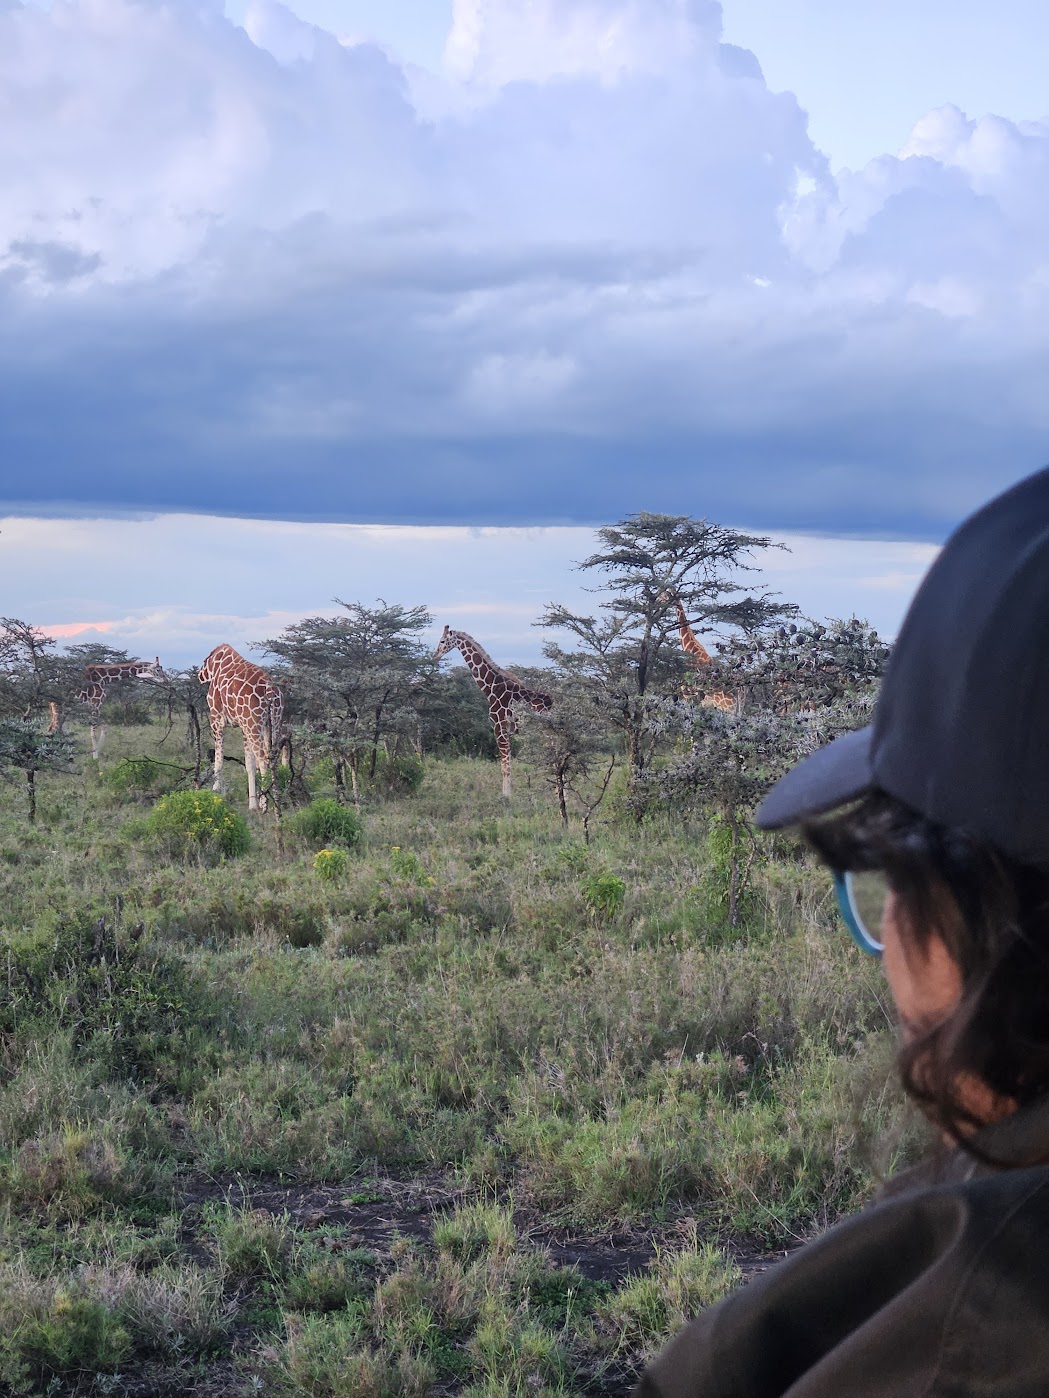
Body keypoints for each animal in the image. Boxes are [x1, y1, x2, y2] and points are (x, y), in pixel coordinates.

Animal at [198, 644, 284, 812]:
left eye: (204, 661)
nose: (199, 675)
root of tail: (270, 691)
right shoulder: (243, 726)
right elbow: (249, 764)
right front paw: (252, 804)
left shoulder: (216, 718)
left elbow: (218, 761)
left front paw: (215, 791)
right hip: (271, 722)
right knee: (272, 758)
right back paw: (276, 801)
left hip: (254, 724)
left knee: (262, 759)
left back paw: (265, 804)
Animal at [434, 625, 553, 798]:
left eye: (442, 641)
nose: (435, 655)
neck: (491, 688)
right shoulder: (508, 731)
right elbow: (507, 765)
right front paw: (507, 795)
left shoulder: (499, 728)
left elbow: (505, 767)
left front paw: (506, 797)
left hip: (546, 732)